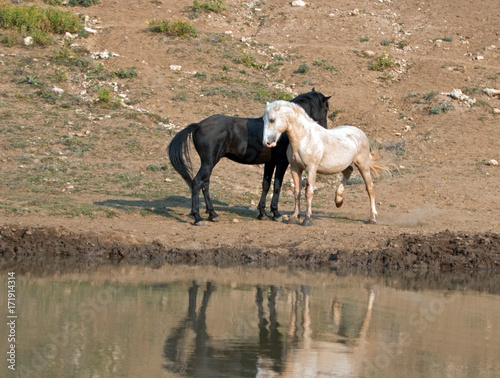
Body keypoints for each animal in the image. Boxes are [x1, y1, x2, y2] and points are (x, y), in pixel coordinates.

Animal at [169, 88, 332, 224]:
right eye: (326, 108)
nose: (324, 127)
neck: (284, 128)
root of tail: (198, 125)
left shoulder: (270, 163)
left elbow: (266, 185)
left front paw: (262, 213)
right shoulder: (282, 163)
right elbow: (277, 185)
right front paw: (276, 214)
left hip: (209, 163)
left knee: (205, 184)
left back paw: (212, 214)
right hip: (208, 162)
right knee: (197, 182)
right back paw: (197, 217)